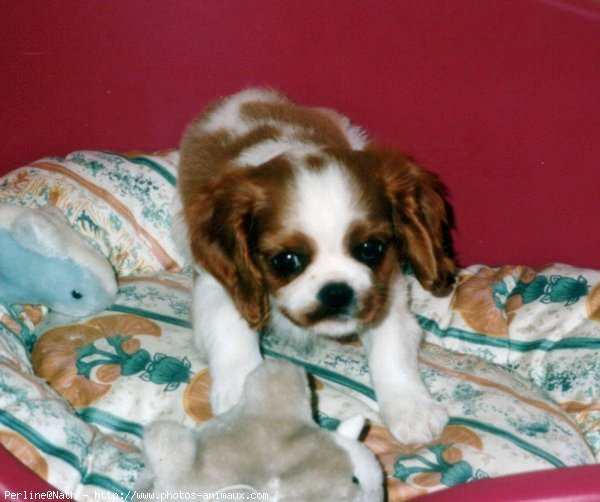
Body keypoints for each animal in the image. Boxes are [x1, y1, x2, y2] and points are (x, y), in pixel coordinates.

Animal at [173, 89, 454, 444]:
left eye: (370, 249)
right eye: (286, 261)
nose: (337, 292)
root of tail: (247, 95)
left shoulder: (385, 288)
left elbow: (390, 344)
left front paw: (411, 408)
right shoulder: (219, 284)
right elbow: (231, 328)